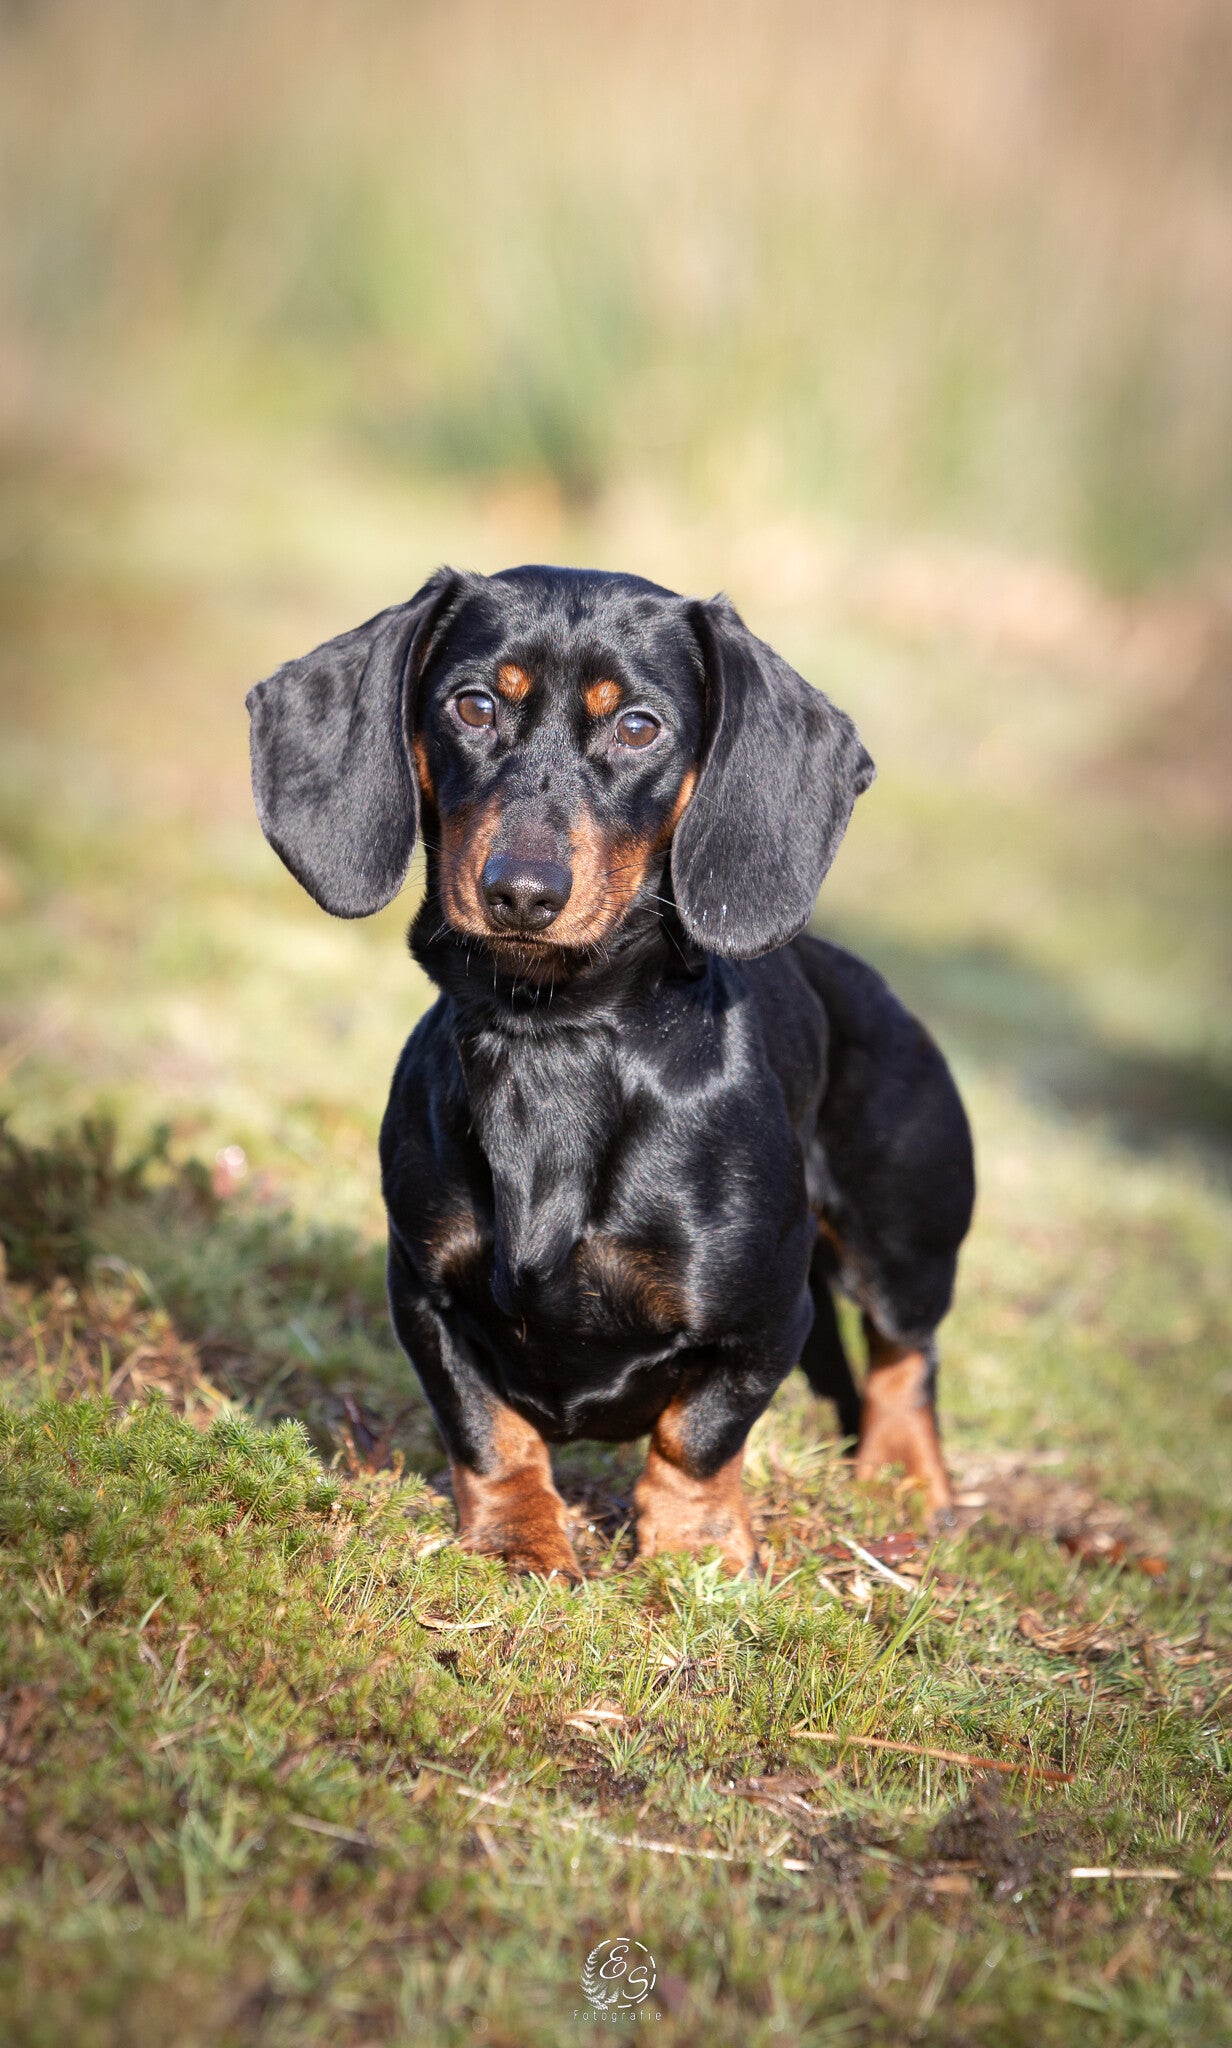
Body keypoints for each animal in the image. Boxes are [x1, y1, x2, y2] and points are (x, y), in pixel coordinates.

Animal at [248, 565, 975, 1579]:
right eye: (473, 706)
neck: (558, 1031)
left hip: (901, 1241)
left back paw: (905, 1481)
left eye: (637, 726)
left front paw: (695, 1554)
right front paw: (520, 1540)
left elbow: (696, 1439)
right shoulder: (425, 1295)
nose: (521, 893)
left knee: (907, 1359)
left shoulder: (761, 1324)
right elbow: (488, 1431)